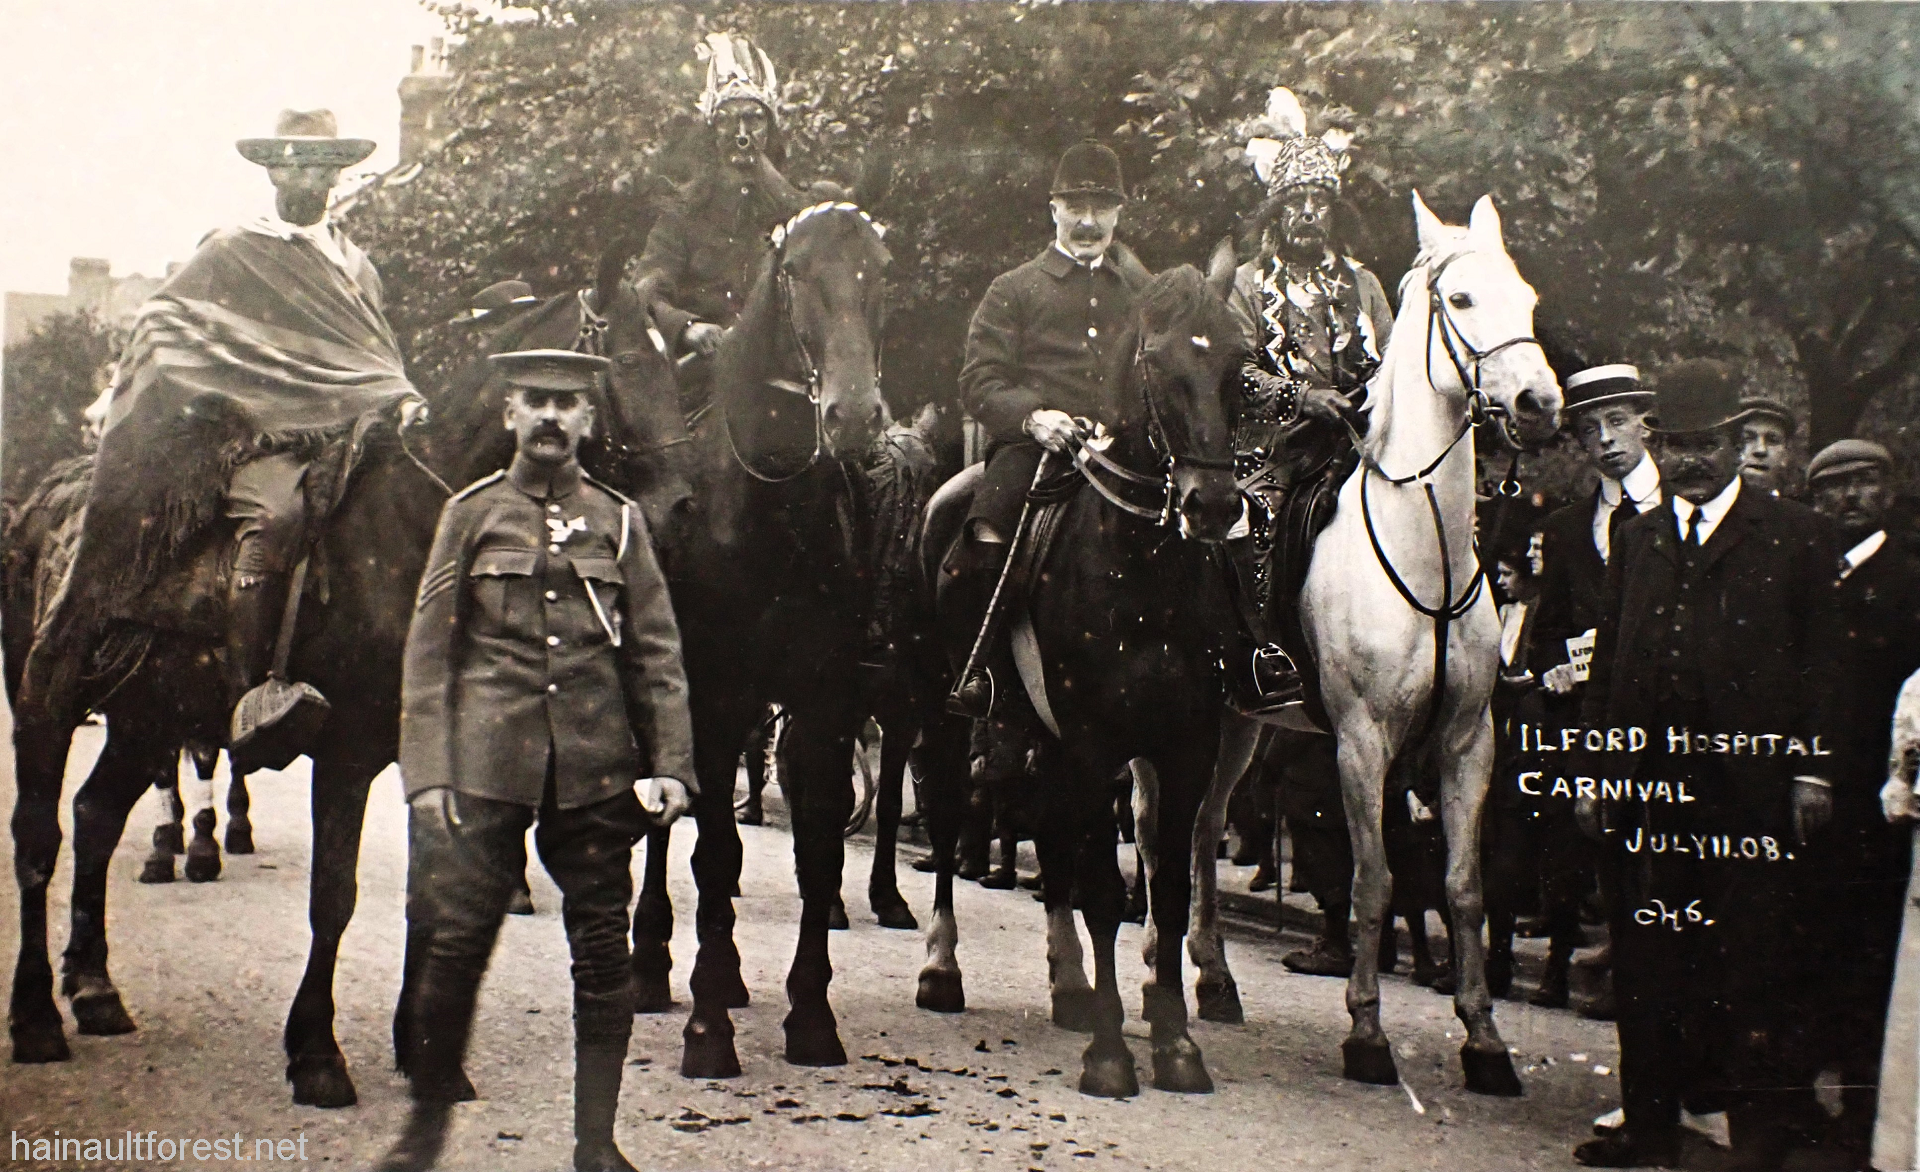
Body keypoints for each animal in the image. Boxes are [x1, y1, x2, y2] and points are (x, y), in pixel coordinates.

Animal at [0, 247, 691, 1106]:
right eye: (623, 364)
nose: (679, 509)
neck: (422, 518)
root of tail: (44, 503)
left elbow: (432, 896)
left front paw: (428, 1051)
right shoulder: (349, 753)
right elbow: (334, 897)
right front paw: (318, 1055)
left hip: (144, 718)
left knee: (94, 817)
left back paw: (94, 990)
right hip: (44, 700)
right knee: (39, 839)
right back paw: (36, 1019)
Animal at [633, 194, 894, 1075]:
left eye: (880, 271)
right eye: (797, 272)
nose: (853, 414)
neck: (769, 509)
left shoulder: (826, 703)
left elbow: (820, 847)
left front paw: (810, 1015)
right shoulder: (712, 699)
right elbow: (710, 848)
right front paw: (707, 1028)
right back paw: (651, 965)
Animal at [913, 242, 1244, 1091]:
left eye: (1239, 362)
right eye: (1159, 365)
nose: (1213, 505)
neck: (1142, 572)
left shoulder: (1183, 748)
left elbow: (1164, 889)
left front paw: (1173, 1041)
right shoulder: (1097, 743)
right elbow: (1103, 890)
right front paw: (1111, 1055)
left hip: (1045, 739)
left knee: (1053, 841)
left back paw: (1071, 988)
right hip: (945, 715)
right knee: (953, 820)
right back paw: (942, 969)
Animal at [1136, 187, 1559, 1091]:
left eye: (1527, 298)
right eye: (1461, 300)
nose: (1540, 406)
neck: (1424, 548)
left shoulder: (1468, 741)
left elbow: (1463, 888)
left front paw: (1485, 1040)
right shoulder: (1363, 741)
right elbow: (1374, 881)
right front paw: (1367, 1033)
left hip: (1240, 726)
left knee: (1199, 832)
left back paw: (1213, 978)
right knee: (1158, 828)